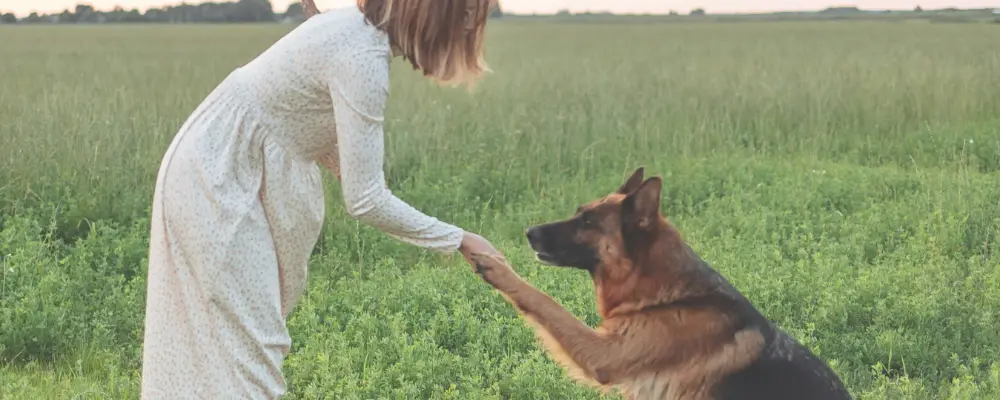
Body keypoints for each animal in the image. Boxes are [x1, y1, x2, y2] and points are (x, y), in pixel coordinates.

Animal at [468, 168, 852, 400]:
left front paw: (494, 266)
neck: (671, 298)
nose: (528, 232)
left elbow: (545, 301)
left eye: (588, 222)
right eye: (579, 212)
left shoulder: (604, 355)